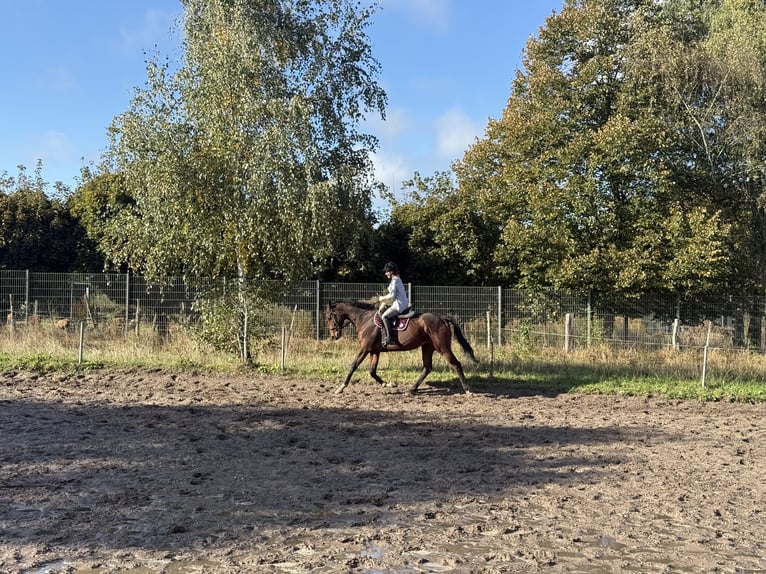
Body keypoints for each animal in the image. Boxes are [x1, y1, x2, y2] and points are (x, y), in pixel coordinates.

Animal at [326, 302, 480, 396]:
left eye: (329, 317)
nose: (334, 335)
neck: (364, 319)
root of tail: (443, 319)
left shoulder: (364, 349)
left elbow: (353, 366)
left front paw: (341, 387)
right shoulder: (374, 351)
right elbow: (372, 371)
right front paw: (388, 384)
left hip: (443, 348)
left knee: (456, 364)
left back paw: (468, 390)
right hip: (427, 347)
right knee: (427, 367)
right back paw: (412, 389)